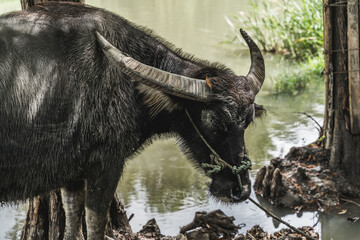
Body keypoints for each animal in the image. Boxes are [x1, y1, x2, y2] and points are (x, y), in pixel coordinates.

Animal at [0, 2, 264, 240]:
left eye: (247, 121)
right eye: (216, 121)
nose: (239, 190)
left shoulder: (71, 176)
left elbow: (73, 225)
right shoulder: (106, 164)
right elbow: (95, 225)